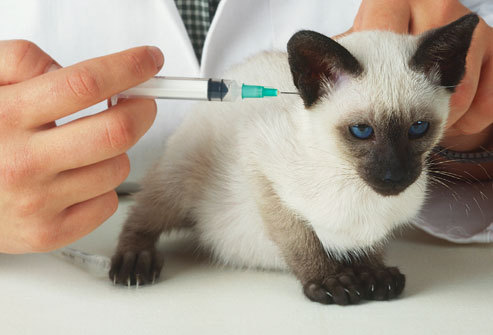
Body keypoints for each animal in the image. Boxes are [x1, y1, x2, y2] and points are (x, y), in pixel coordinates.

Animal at [110, 14, 476, 306]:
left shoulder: (374, 225)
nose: (394, 176)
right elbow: (302, 241)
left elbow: (368, 246)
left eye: (418, 128)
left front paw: (373, 274)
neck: (355, 190)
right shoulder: (260, 168)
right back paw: (134, 263)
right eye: (361, 131)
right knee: (141, 216)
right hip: (181, 181)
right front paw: (330, 282)